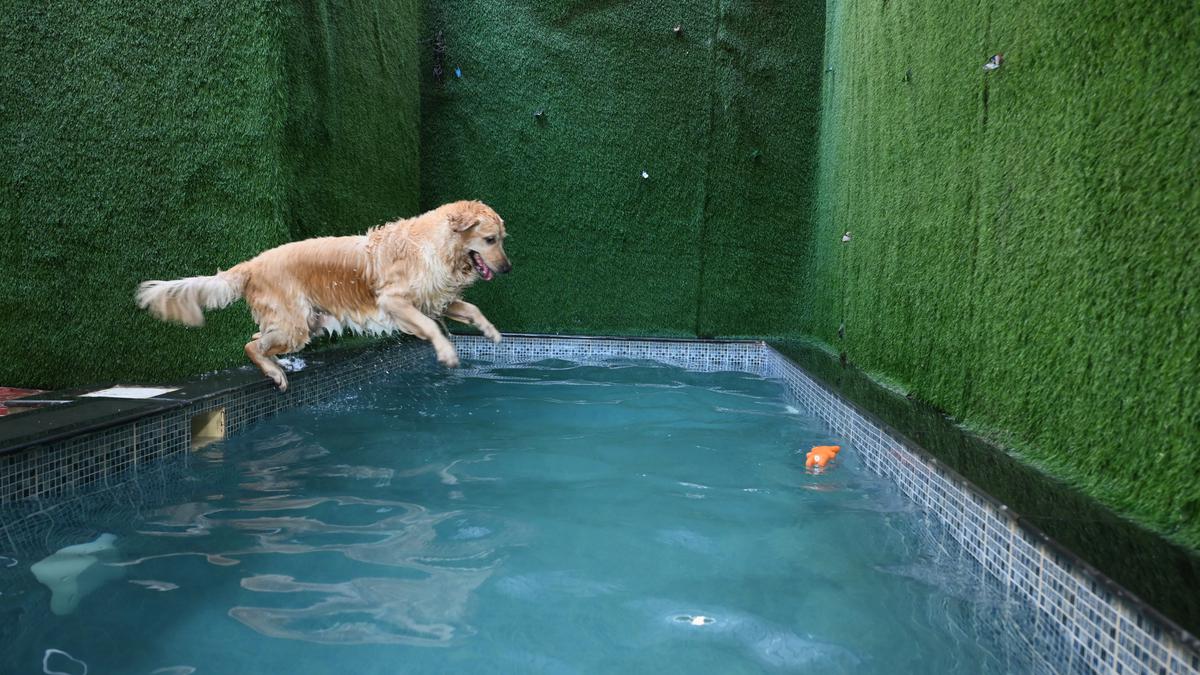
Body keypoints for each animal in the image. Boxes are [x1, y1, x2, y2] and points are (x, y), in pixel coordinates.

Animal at [136, 199, 511, 389]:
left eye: (501, 239)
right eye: (491, 240)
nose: (508, 269)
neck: (438, 246)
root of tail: (252, 264)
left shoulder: (434, 299)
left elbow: (471, 309)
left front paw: (493, 333)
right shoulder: (394, 301)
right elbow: (432, 327)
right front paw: (447, 354)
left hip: (301, 323)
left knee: (257, 337)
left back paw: (277, 365)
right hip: (295, 323)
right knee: (251, 345)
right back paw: (275, 373)